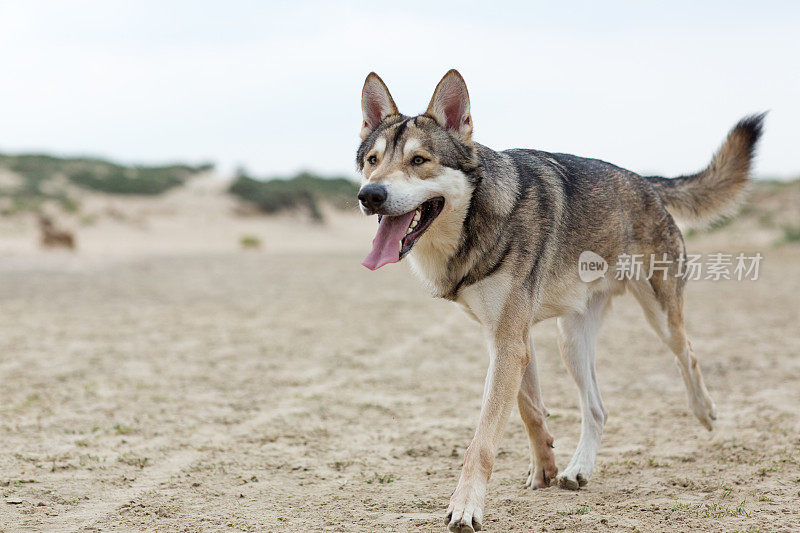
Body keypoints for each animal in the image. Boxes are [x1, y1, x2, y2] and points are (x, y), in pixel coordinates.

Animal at [354, 68, 764, 528]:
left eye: (419, 161)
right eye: (373, 161)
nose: (370, 196)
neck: (475, 222)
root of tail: (647, 182)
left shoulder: (509, 345)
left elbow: (482, 441)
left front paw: (466, 508)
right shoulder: (509, 341)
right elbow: (530, 411)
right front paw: (543, 470)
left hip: (660, 318)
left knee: (688, 353)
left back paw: (704, 412)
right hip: (571, 342)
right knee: (598, 410)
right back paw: (577, 470)